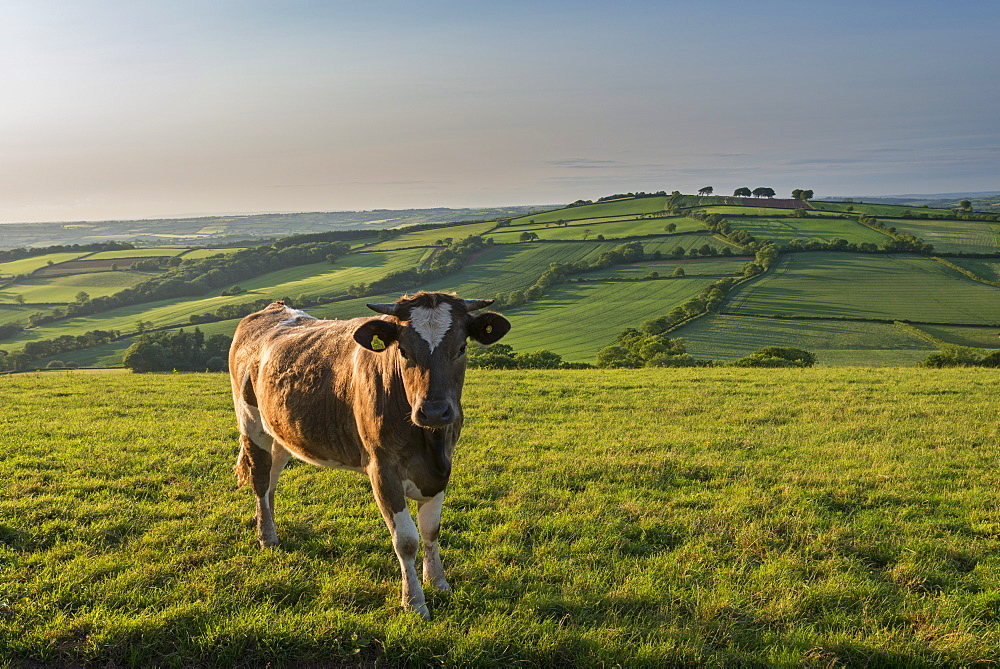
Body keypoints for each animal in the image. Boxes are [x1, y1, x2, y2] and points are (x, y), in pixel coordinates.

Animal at [227, 290, 508, 620]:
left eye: (462, 347)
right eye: (403, 350)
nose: (435, 411)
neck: (429, 442)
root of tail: (274, 308)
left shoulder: (442, 467)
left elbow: (431, 530)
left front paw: (439, 583)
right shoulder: (382, 469)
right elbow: (407, 541)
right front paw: (414, 603)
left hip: (281, 430)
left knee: (272, 476)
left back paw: (269, 524)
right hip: (250, 419)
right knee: (260, 477)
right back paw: (266, 537)